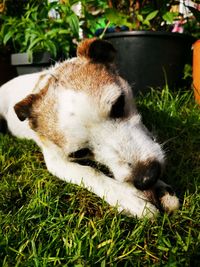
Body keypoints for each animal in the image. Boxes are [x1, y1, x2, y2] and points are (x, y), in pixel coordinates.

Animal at [0, 38, 179, 218]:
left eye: (118, 104)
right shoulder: (55, 161)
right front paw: (127, 197)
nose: (147, 178)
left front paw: (161, 188)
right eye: (79, 153)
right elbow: (89, 172)